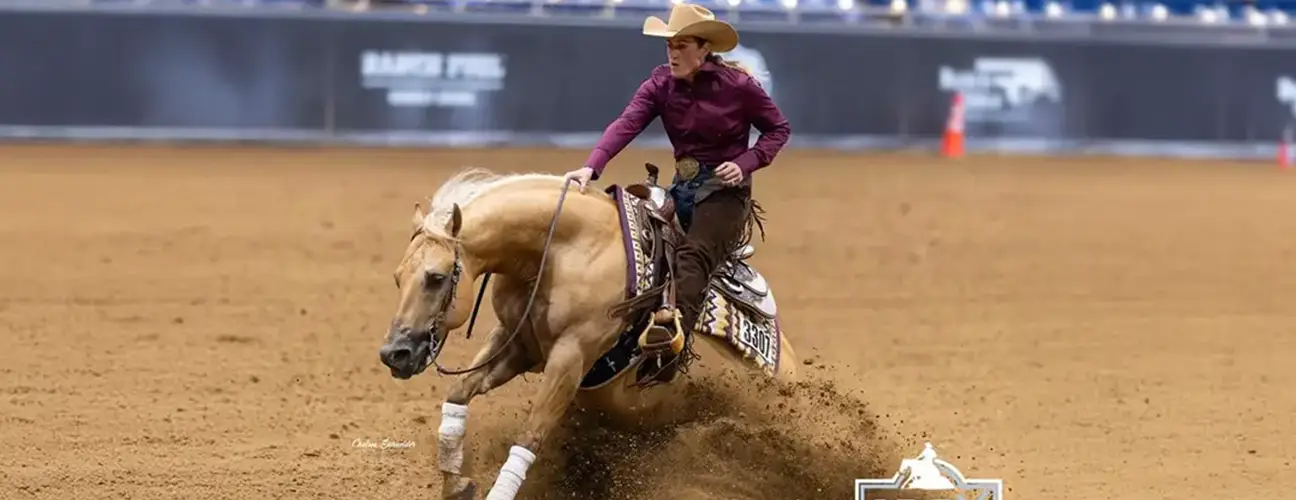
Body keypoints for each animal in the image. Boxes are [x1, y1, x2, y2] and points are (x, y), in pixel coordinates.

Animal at [377, 165, 799, 500]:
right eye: (397, 277)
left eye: (435, 277)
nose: (394, 353)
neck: (563, 250)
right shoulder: (517, 344)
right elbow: (458, 394)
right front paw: (457, 483)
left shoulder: (570, 358)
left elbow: (530, 436)